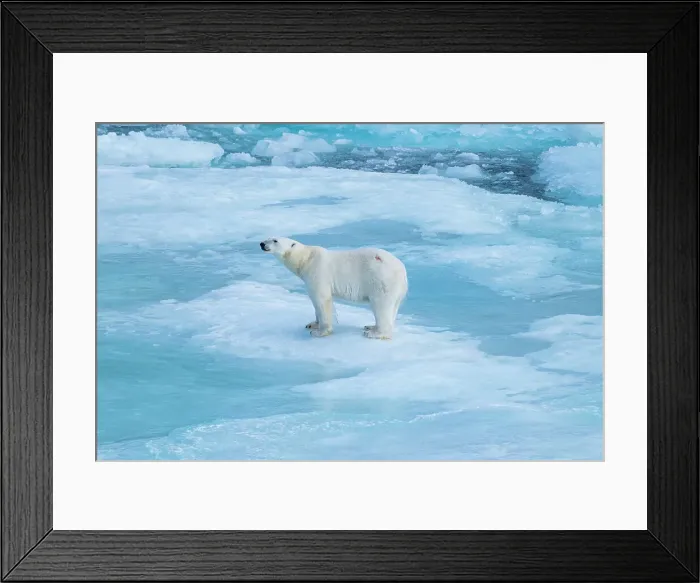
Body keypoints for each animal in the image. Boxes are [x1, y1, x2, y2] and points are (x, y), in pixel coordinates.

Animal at [260, 237, 408, 339]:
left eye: (275, 240)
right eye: (269, 237)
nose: (261, 244)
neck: (306, 258)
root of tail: (402, 271)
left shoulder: (318, 272)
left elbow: (321, 300)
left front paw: (319, 332)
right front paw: (312, 323)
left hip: (380, 281)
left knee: (381, 305)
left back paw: (374, 333)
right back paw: (371, 326)